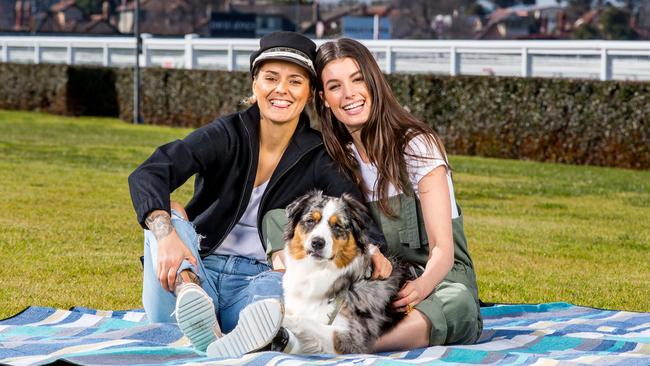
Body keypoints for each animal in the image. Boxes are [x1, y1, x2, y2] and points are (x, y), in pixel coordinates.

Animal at [280, 192, 410, 354]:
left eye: (337, 226)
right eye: (310, 221)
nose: (317, 242)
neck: (316, 271)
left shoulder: (350, 338)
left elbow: (304, 320)